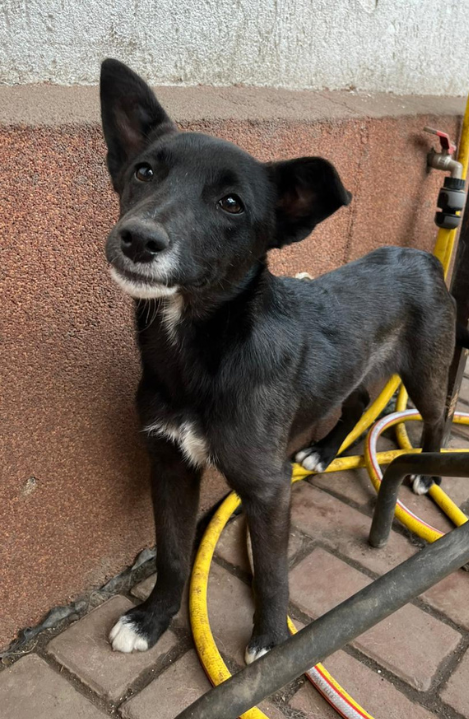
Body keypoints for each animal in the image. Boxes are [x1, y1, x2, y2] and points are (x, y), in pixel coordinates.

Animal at [99, 59, 469, 661]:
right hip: (354, 366)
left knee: (436, 414)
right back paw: (323, 451)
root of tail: (422, 257)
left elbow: (273, 574)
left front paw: (272, 644)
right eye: (144, 172)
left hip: (427, 368)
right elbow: (173, 553)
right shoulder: (170, 463)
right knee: (357, 402)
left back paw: (422, 473)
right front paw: (151, 619)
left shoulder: (267, 489)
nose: (138, 238)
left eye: (231, 203)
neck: (206, 353)